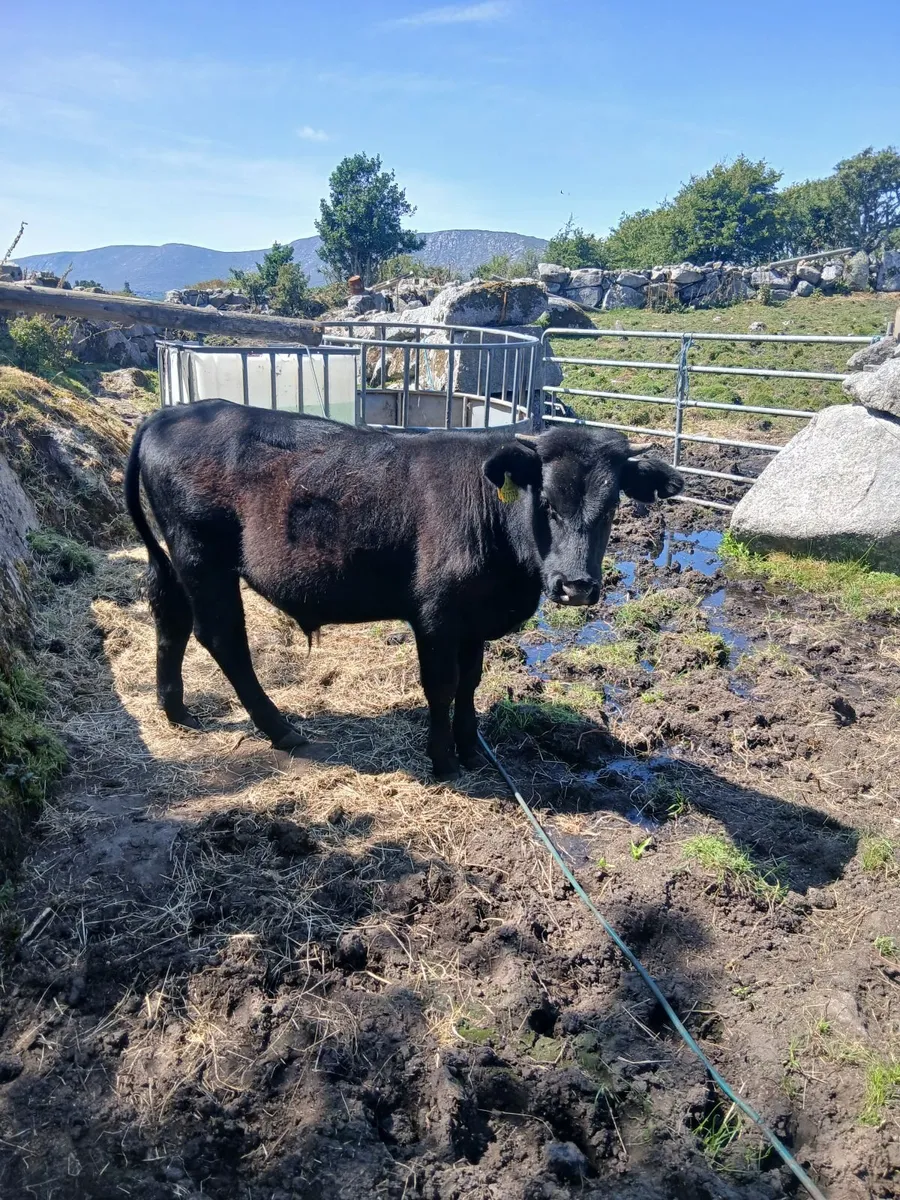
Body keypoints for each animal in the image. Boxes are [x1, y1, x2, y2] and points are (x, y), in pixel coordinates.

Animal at [124, 401, 682, 779]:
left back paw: (176, 710)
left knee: (172, 618)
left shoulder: (472, 619)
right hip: (203, 558)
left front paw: (470, 748)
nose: (577, 587)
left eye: (612, 507)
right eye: (545, 501)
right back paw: (280, 728)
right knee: (223, 639)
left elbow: (470, 682)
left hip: (178, 559)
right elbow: (442, 684)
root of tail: (170, 413)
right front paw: (444, 760)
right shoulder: (436, 616)